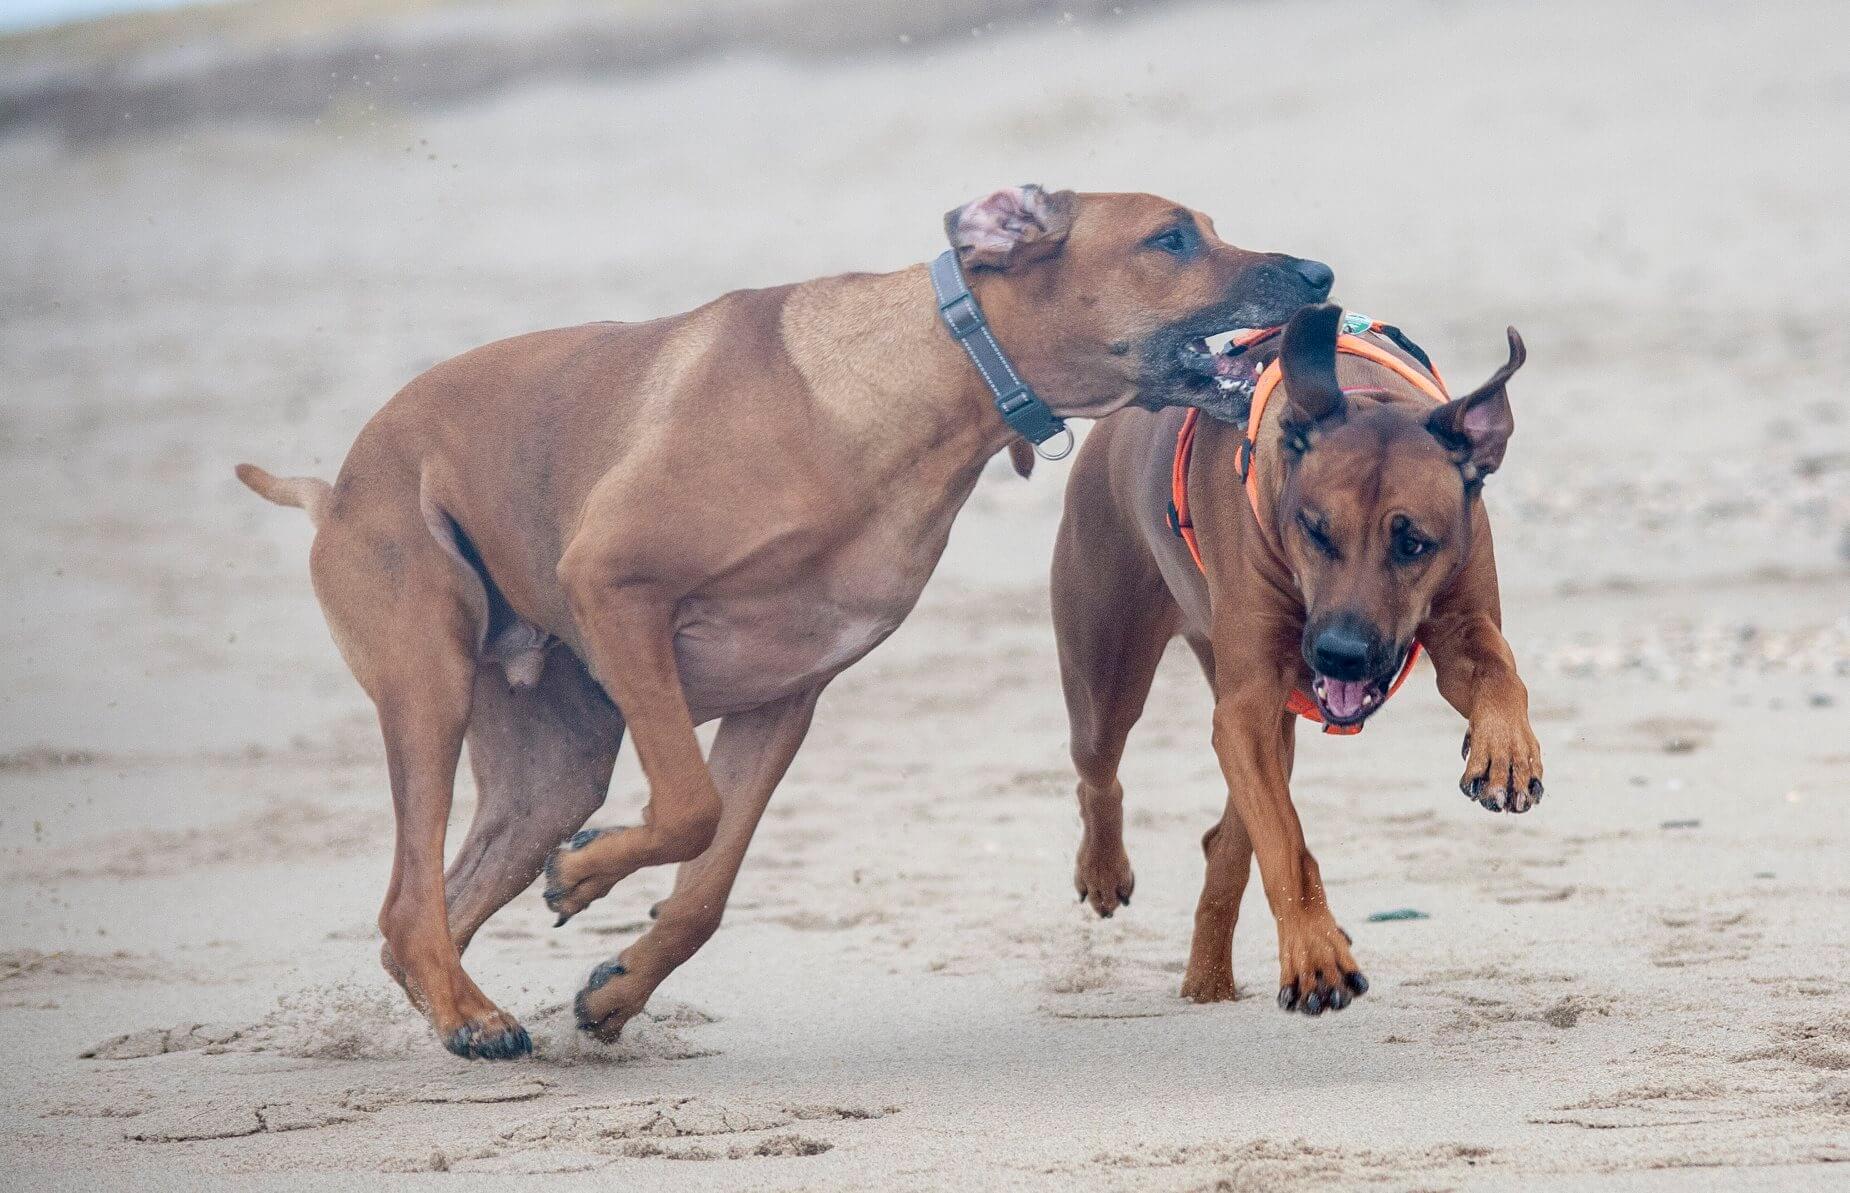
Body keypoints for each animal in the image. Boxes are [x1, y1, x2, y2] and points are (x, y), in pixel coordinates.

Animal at [234, 185, 1332, 1057]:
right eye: (1170, 238)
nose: (1319, 271)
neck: (917, 387)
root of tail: (330, 487)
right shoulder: (613, 587)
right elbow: (686, 806)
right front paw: (586, 874)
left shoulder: (784, 698)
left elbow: (706, 882)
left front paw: (617, 983)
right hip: (429, 672)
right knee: (406, 897)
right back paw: (471, 1014)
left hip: (550, 763)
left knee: (426, 905)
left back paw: (462, 1001)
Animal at [1050, 299, 1539, 1013]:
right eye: (1314, 529)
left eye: (1413, 542)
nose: (1342, 654)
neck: (1366, 392)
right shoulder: (1249, 702)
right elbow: (1283, 841)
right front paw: (1314, 954)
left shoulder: (1464, 619)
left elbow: (1501, 672)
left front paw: (1506, 752)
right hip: (1105, 661)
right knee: (1099, 769)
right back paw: (1106, 871)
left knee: (1229, 834)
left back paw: (1208, 981)